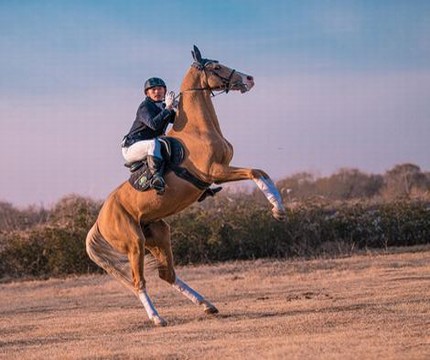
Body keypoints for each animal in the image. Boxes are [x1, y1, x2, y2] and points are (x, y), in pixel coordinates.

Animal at [85, 45, 286, 326]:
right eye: (215, 67)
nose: (249, 79)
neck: (198, 130)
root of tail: (100, 218)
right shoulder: (216, 172)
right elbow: (255, 173)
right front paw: (277, 209)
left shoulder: (221, 172)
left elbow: (263, 173)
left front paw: (280, 209)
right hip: (134, 243)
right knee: (139, 281)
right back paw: (157, 318)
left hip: (158, 234)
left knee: (167, 274)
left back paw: (207, 305)